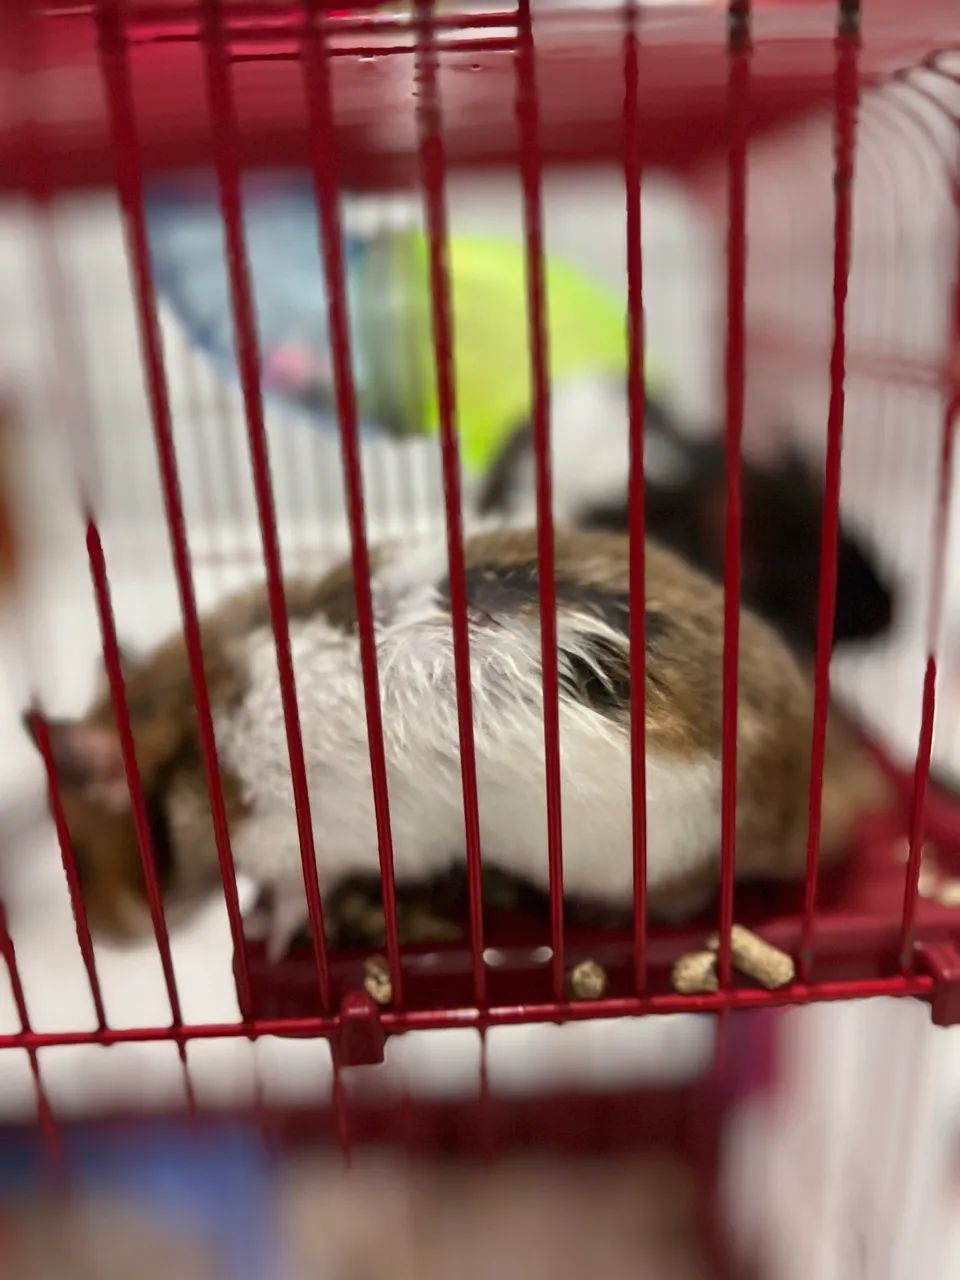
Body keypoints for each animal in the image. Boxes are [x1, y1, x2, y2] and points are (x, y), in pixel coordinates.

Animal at [26, 528, 883, 959]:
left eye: (78, 859)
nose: (109, 940)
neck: (186, 741)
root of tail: (802, 794)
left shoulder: (310, 843)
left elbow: (299, 896)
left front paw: (271, 935)